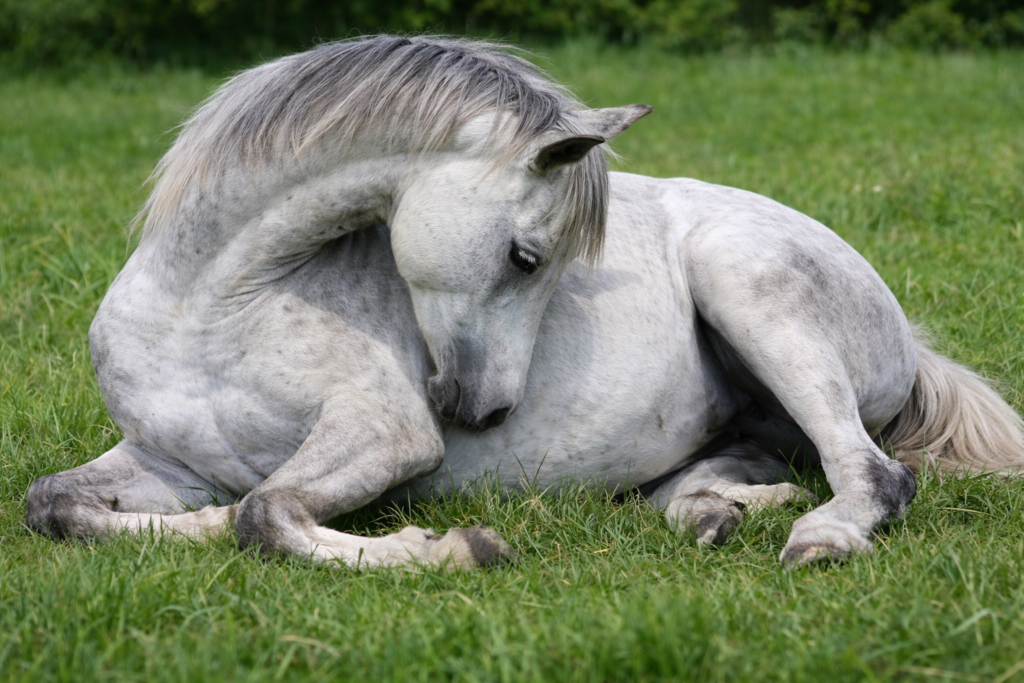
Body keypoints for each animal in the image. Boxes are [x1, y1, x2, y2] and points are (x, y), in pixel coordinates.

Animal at [26, 35, 1024, 569]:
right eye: (525, 254)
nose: (487, 410)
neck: (206, 306)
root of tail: (906, 335)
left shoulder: (384, 433)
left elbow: (264, 514)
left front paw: (451, 547)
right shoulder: (166, 456)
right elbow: (54, 506)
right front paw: (184, 526)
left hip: (750, 286)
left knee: (874, 472)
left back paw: (819, 535)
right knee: (735, 470)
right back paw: (716, 512)